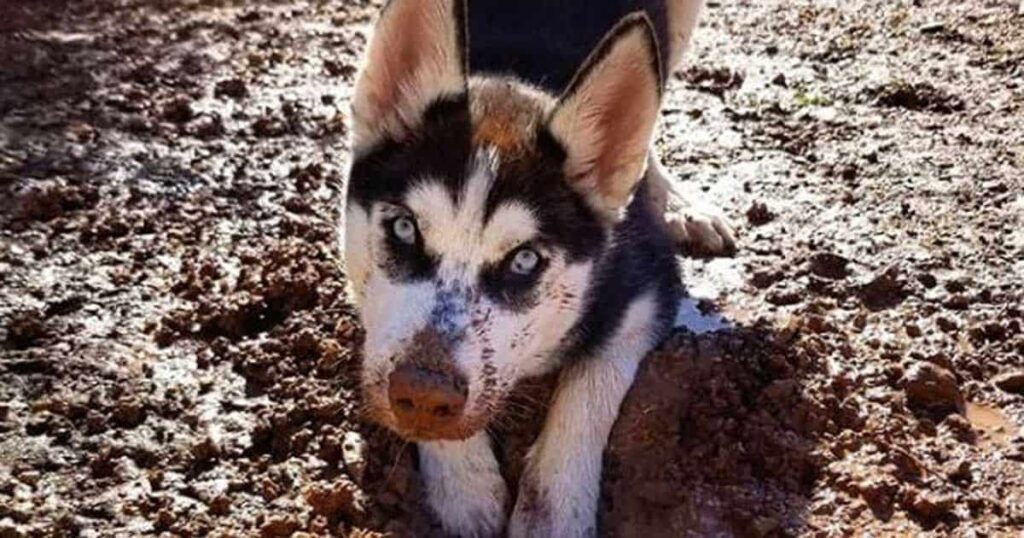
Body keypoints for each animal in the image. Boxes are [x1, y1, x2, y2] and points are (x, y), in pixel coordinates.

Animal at [344, 2, 729, 532]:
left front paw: (552, 513)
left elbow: (586, 389)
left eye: (524, 260)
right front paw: (465, 486)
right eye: (404, 228)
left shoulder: (648, 291)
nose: (423, 394)